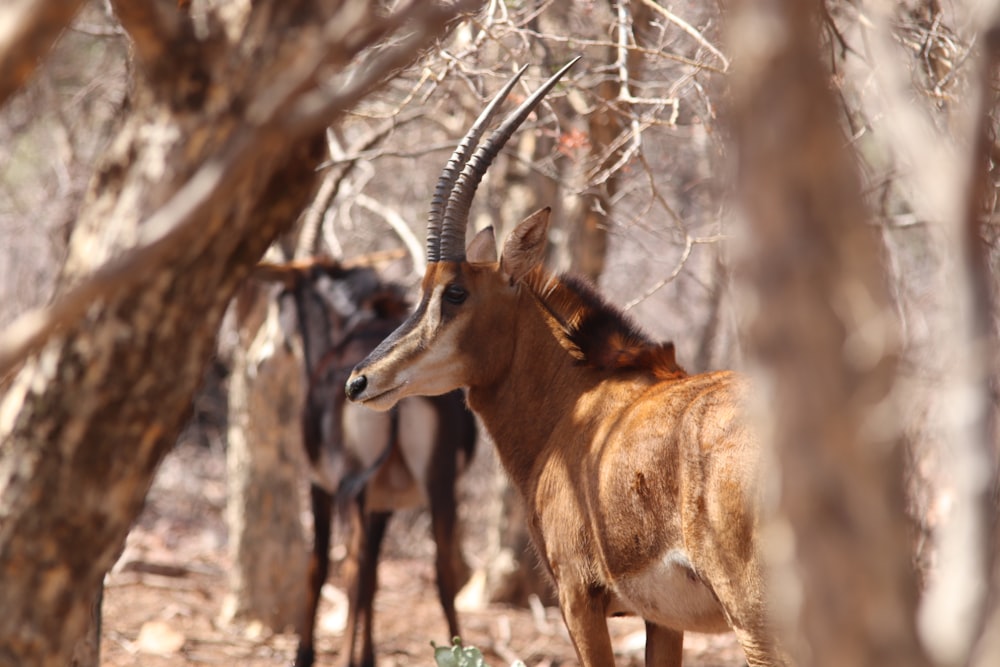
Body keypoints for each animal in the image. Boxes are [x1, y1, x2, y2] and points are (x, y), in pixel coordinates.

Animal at [252, 260, 474, 667]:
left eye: (280, 299)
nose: (264, 356)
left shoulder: (320, 486)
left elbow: (319, 567)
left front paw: (305, 653)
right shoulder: (383, 502)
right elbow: (375, 574)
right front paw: (367, 655)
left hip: (351, 485)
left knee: (352, 568)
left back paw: (340, 659)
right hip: (439, 485)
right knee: (443, 570)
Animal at [344, 60, 780, 664]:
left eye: (455, 292)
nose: (360, 380)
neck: (572, 402)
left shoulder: (578, 597)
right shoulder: (662, 619)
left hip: (755, 619)